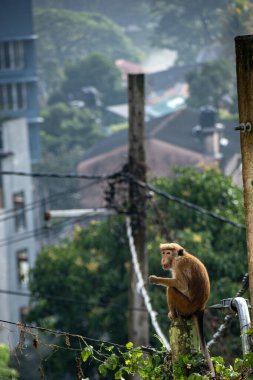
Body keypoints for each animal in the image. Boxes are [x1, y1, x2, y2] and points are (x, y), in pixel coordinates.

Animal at [149, 242, 214, 378]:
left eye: (168, 253)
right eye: (163, 253)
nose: (163, 258)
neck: (179, 257)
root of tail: (200, 308)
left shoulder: (179, 264)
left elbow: (182, 285)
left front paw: (156, 279)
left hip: (186, 306)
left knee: (171, 289)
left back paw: (173, 315)